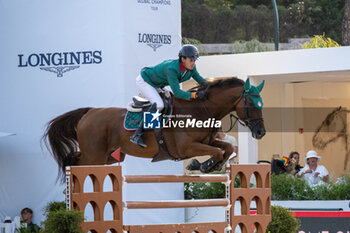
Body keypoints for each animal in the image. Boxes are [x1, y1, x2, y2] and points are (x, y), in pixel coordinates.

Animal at [43, 77, 266, 181]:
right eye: (251, 104)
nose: (261, 133)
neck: (200, 109)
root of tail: (88, 113)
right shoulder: (186, 148)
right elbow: (219, 151)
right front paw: (201, 165)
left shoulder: (207, 142)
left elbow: (225, 149)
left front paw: (208, 165)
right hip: (95, 155)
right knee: (76, 163)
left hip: (109, 156)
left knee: (75, 158)